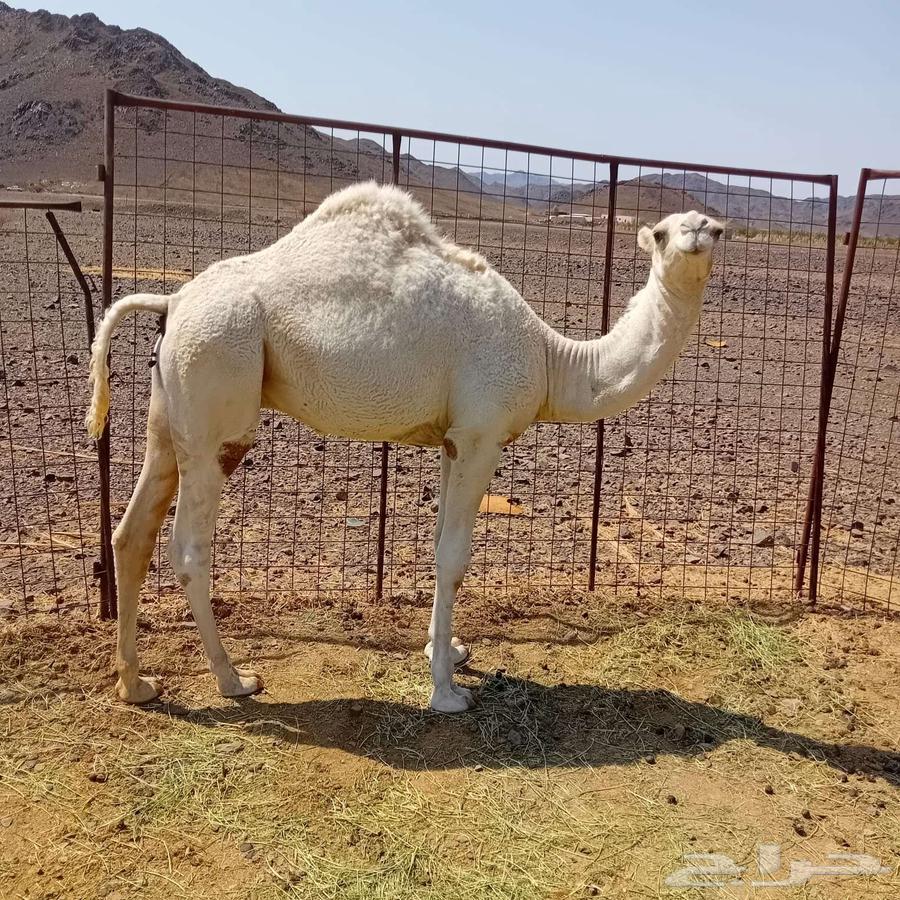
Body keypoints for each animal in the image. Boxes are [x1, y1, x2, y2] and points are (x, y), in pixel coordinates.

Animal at [86, 182, 723, 713]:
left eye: (713, 225)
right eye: (663, 232)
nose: (704, 230)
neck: (550, 358)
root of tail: (171, 303)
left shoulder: (452, 438)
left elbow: (439, 542)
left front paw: (449, 650)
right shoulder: (482, 433)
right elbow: (453, 556)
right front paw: (447, 690)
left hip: (169, 412)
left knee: (132, 532)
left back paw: (136, 685)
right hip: (220, 387)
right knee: (190, 547)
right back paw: (234, 680)